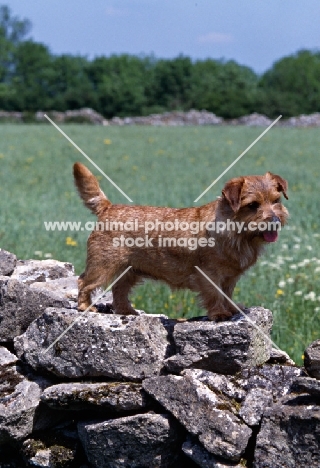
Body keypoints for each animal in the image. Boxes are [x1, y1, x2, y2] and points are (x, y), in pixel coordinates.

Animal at [74, 163, 288, 320]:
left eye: (276, 200)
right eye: (252, 205)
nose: (275, 220)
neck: (237, 233)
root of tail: (108, 207)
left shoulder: (230, 277)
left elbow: (227, 293)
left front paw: (233, 308)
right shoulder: (209, 274)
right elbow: (214, 293)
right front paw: (219, 313)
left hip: (130, 271)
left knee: (119, 289)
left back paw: (127, 311)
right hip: (102, 266)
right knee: (84, 281)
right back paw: (86, 307)